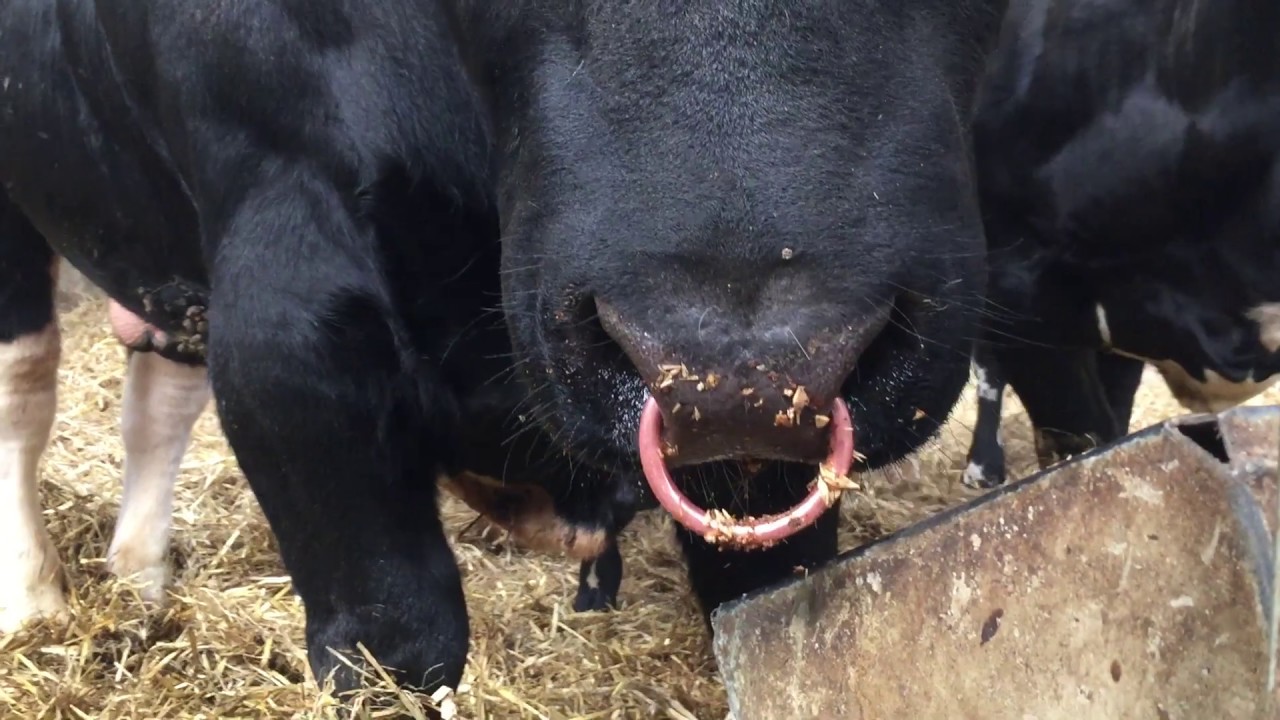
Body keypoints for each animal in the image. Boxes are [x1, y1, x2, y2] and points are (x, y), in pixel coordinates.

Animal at [0, 0, 1007, 704]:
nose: (741, 374)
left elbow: (768, 603)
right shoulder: (292, 310)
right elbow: (394, 634)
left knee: (155, 400)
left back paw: (138, 579)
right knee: (26, 388)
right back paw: (37, 602)